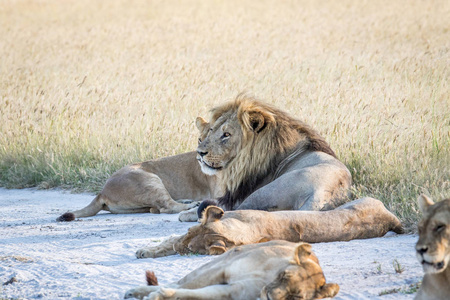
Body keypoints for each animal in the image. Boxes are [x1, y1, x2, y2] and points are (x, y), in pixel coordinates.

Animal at [123, 240, 338, 298]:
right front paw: (152, 294)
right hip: (219, 260)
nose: (270, 297)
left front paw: (161, 296)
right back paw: (134, 292)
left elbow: (194, 294)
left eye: (297, 296)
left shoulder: (233, 291)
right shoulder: (223, 269)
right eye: (285, 275)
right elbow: (185, 287)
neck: (268, 278)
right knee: (179, 281)